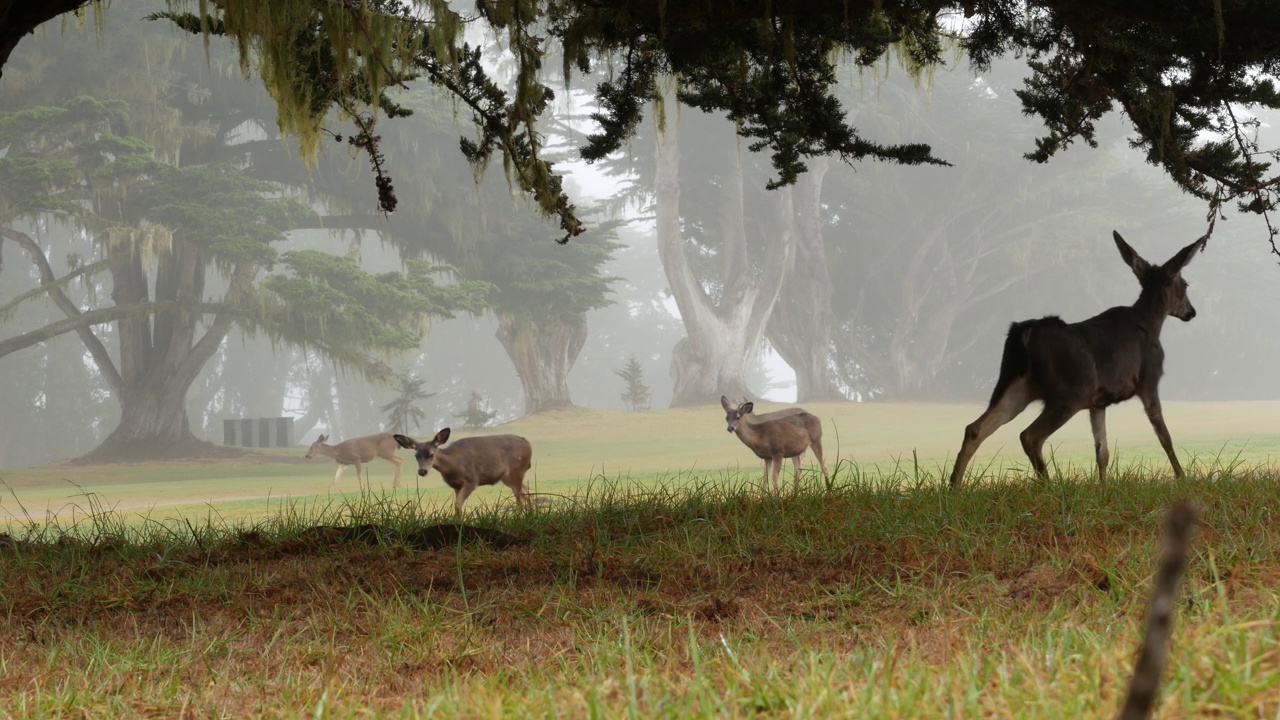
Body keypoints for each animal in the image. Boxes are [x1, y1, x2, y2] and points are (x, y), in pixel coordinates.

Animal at [389, 427, 529, 512]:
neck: (452, 465)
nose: (422, 471)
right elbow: (457, 505)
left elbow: (457, 504)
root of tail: (528, 444)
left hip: (516, 471)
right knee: (527, 491)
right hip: (510, 477)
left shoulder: (471, 480)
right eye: (416, 456)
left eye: (431, 454)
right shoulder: (456, 485)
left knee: (520, 498)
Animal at [947, 229, 1203, 486]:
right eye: (1185, 284)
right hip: (1072, 390)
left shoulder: (1098, 401)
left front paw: (1102, 486)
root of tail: (1027, 332)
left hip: (1015, 385)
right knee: (1029, 435)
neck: (1151, 323)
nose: (1191, 312)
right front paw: (1182, 477)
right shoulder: (1149, 379)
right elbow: (1164, 435)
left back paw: (955, 486)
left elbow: (1102, 451)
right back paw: (1048, 485)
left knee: (975, 428)